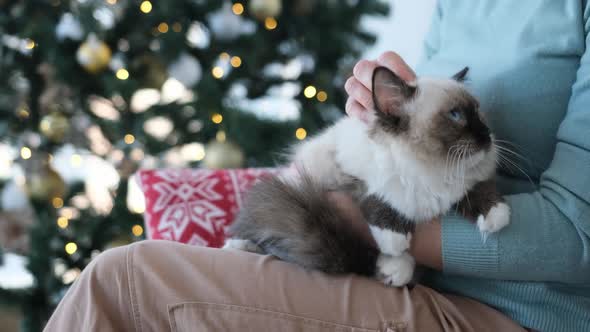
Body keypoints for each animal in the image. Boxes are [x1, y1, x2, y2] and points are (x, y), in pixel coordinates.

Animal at [224, 66, 512, 286]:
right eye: (456, 115)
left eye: (478, 113)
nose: (487, 135)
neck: (431, 170)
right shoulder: (344, 175)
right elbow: (376, 199)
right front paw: (394, 248)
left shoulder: (463, 184)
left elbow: (477, 189)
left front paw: (496, 216)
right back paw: (240, 246)